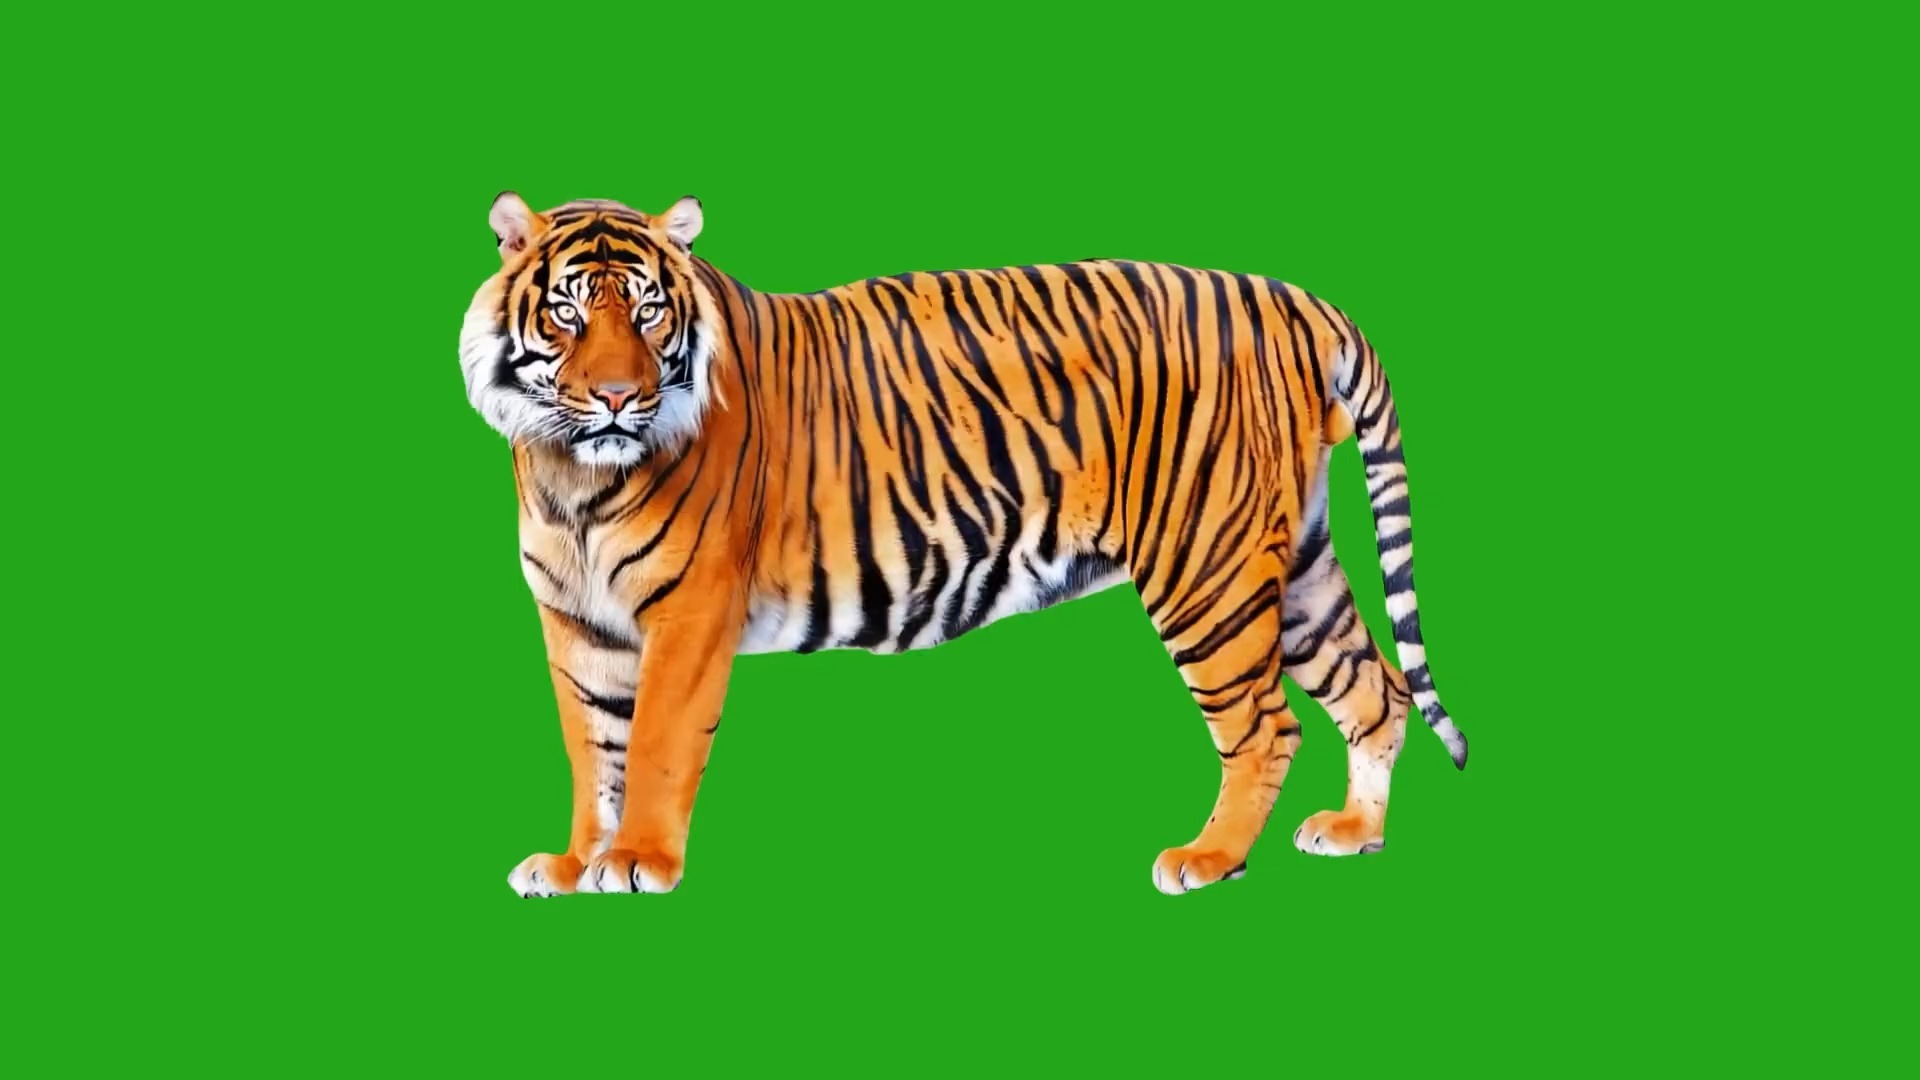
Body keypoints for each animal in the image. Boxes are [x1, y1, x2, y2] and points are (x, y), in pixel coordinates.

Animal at [458, 192, 1469, 899]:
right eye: (568, 314)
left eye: (648, 314)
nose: (619, 398)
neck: (571, 476)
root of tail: (1294, 298)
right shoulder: (578, 624)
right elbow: (593, 751)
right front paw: (576, 861)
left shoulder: (690, 612)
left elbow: (656, 745)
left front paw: (638, 863)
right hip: (1291, 567)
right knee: (1374, 690)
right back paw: (1355, 833)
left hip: (1207, 570)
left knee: (1267, 726)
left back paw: (1210, 858)